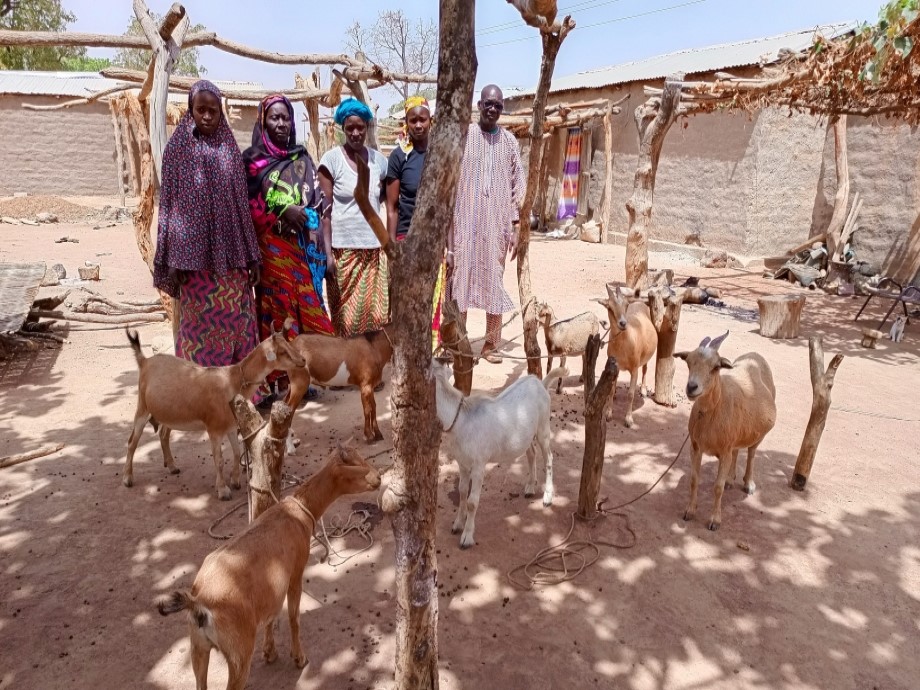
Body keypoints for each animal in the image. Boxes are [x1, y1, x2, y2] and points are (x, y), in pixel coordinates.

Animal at [156, 440, 380, 688]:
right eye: (355, 464)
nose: (379, 478)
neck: (297, 513)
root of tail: (198, 603)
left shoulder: (273, 587)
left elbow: (272, 614)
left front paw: (270, 652)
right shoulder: (295, 571)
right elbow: (293, 617)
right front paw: (299, 658)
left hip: (198, 646)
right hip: (239, 651)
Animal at [432, 360, 568, 548]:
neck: (461, 420)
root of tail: (540, 383)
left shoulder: (479, 464)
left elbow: (472, 502)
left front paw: (467, 537)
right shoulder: (463, 463)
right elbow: (462, 493)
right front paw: (457, 524)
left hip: (543, 428)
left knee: (548, 457)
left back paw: (547, 497)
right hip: (525, 435)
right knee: (531, 453)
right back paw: (530, 488)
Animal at [676, 330, 776, 528]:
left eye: (716, 367)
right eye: (688, 362)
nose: (691, 387)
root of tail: (754, 354)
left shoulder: (724, 451)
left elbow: (717, 487)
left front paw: (715, 520)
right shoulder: (695, 446)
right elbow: (693, 480)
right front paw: (690, 511)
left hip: (759, 434)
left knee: (752, 453)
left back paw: (748, 483)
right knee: (737, 451)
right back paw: (731, 478)